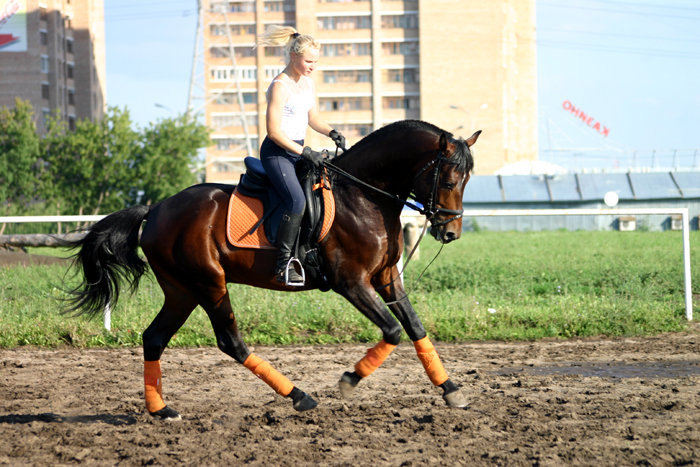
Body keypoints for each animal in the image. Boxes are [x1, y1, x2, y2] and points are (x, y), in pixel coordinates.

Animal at [67, 119, 482, 420]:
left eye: (467, 181)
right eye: (448, 179)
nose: (450, 232)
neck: (363, 197)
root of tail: (154, 210)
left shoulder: (386, 277)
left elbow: (415, 327)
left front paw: (451, 390)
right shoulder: (351, 282)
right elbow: (394, 330)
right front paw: (349, 381)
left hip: (182, 291)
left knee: (154, 338)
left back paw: (162, 410)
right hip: (209, 284)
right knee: (230, 342)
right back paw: (300, 396)